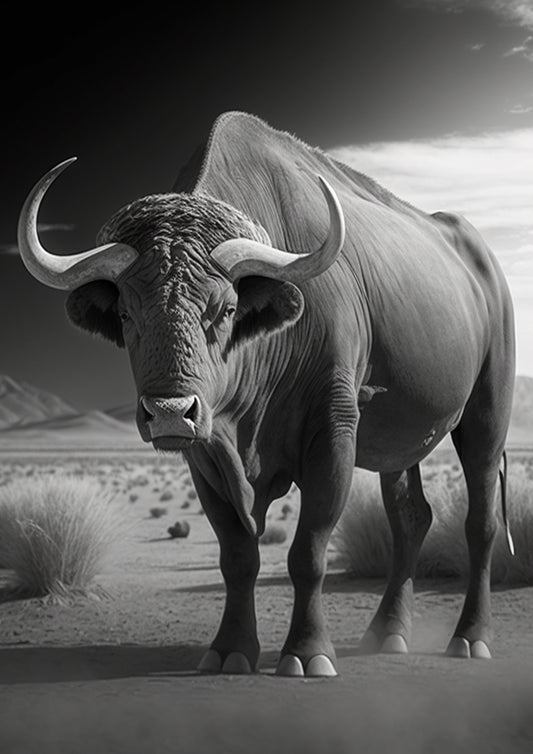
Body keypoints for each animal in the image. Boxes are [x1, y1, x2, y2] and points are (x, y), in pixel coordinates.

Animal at [18, 111, 515, 676]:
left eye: (226, 308)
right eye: (126, 312)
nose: (169, 412)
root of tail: (487, 269)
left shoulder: (333, 431)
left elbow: (308, 550)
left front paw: (307, 652)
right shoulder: (207, 455)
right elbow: (238, 556)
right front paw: (230, 649)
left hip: (485, 420)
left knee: (480, 523)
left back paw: (470, 638)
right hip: (401, 446)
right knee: (411, 518)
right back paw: (387, 634)